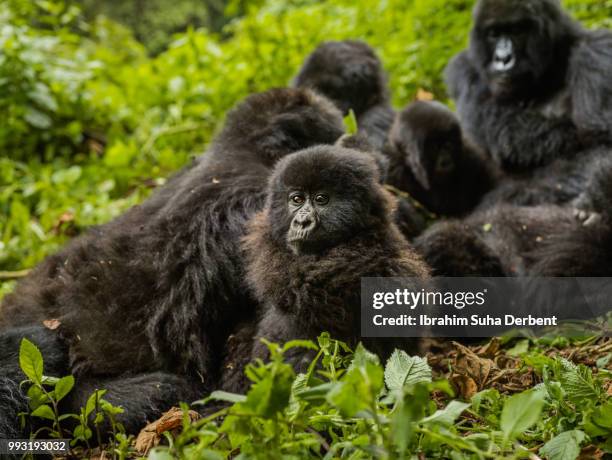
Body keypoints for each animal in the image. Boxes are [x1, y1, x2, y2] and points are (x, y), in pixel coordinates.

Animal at [444, 0, 612, 172]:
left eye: (517, 31)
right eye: (494, 34)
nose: (503, 58)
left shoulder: (596, 51)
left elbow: (598, 134)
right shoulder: (463, 68)